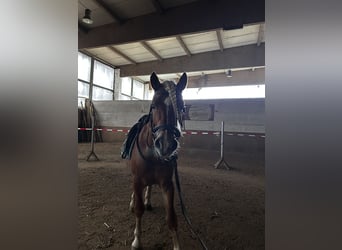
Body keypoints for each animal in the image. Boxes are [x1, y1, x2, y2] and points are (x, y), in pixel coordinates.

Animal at [126, 72, 187, 250]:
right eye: (153, 106)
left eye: (182, 107)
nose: (166, 145)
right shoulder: (137, 180)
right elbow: (138, 210)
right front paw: (137, 241)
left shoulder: (167, 184)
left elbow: (171, 218)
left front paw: (176, 245)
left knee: (150, 186)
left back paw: (148, 200)